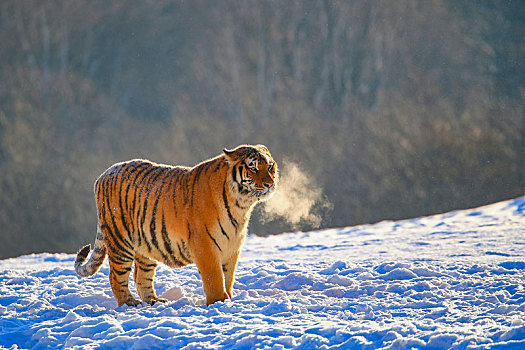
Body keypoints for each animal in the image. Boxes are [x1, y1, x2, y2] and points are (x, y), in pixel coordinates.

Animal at [75, 144, 278, 304]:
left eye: (270, 166)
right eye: (253, 168)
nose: (270, 184)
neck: (240, 205)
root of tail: (104, 174)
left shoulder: (232, 247)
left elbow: (228, 277)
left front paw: (228, 299)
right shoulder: (205, 246)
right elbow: (214, 278)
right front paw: (219, 302)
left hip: (145, 245)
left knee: (141, 275)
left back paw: (154, 301)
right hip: (120, 240)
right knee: (116, 276)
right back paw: (129, 303)